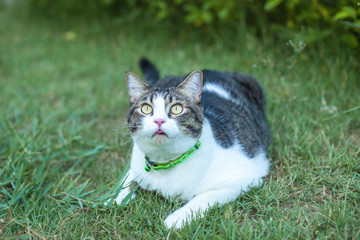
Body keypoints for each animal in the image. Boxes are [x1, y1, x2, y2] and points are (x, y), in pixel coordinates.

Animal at [112, 58, 270, 229]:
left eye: (177, 108)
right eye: (146, 108)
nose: (159, 120)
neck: (165, 161)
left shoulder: (244, 177)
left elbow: (203, 198)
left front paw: (175, 219)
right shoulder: (137, 163)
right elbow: (127, 177)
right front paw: (114, 197)